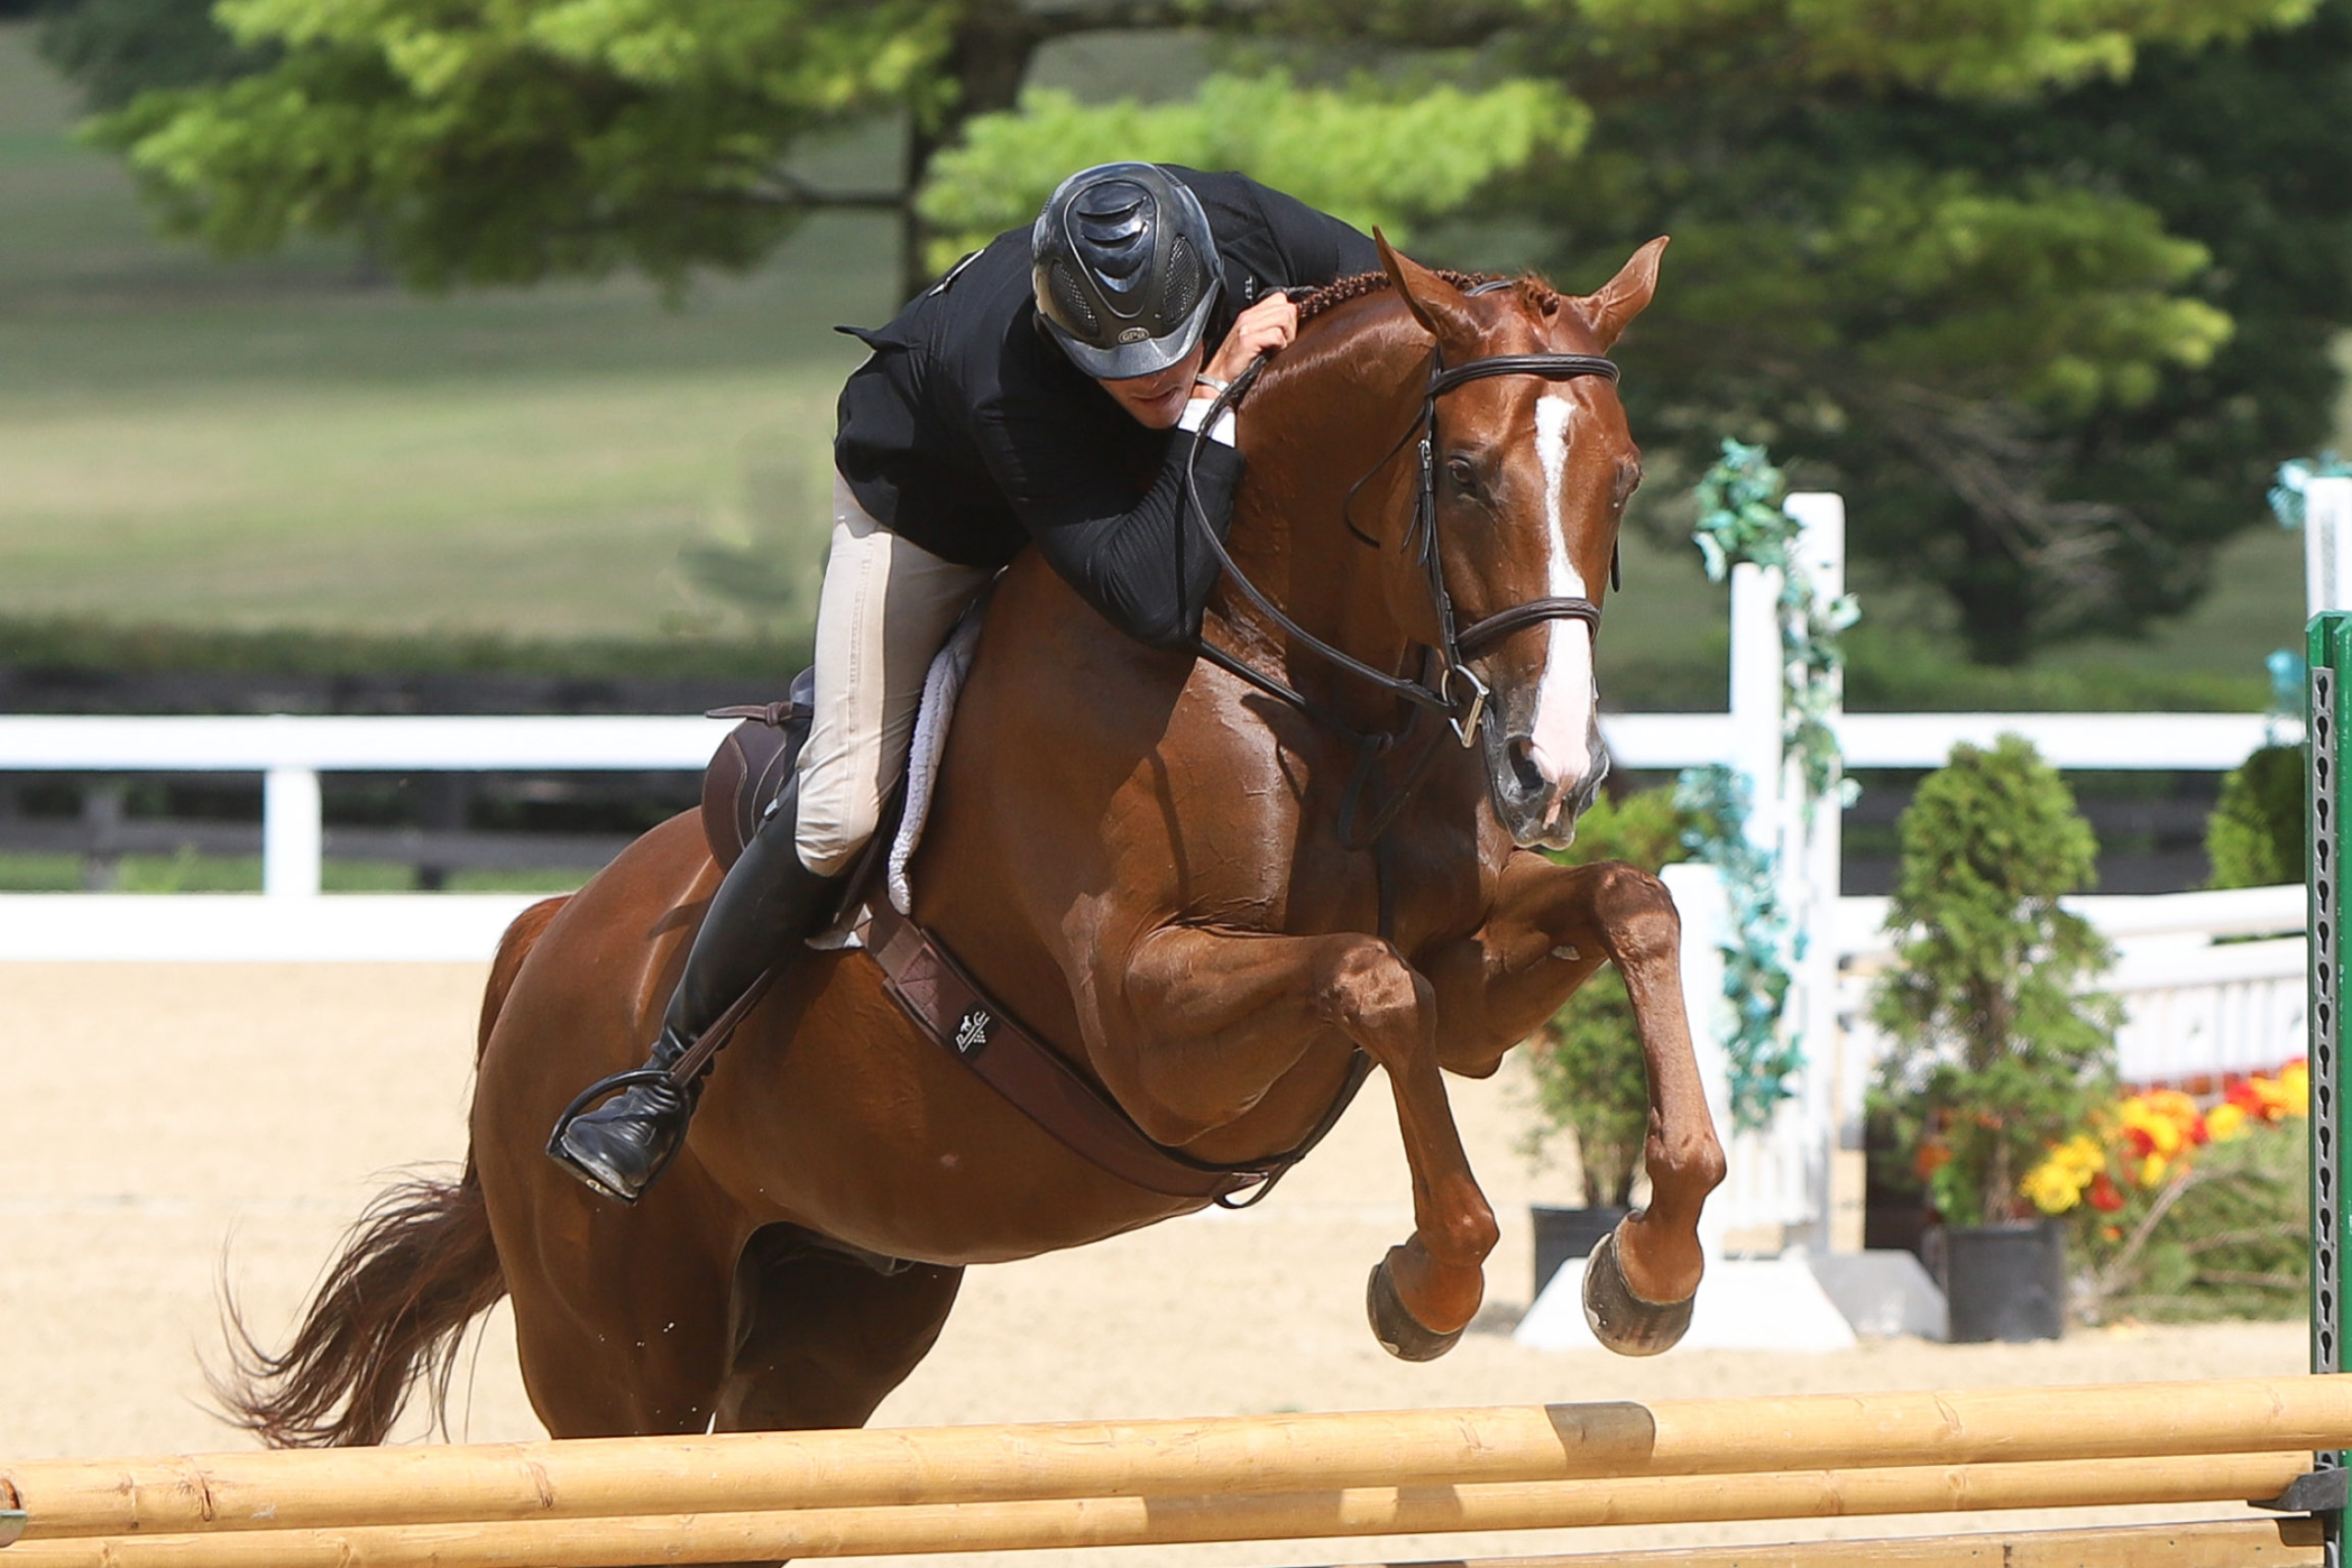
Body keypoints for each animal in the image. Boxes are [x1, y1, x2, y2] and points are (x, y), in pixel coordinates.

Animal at [224, 240, 1731, 1495]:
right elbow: (1371, 980)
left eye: (1624, 478)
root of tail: (546, 938)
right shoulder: (1147, 1024)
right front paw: (1427, 1285)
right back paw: (622, 1125)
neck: (1299, 680)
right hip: (616, 1363)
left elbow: (1624, 908)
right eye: (1465, 473)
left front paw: (1647, 1271)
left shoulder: (1468, 975)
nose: (1552, 770)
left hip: (836, 1319)